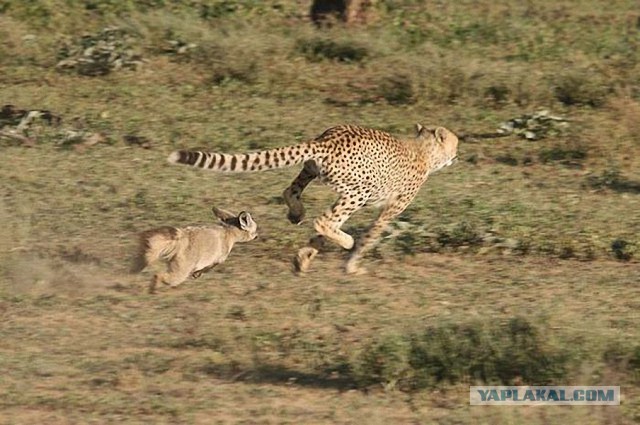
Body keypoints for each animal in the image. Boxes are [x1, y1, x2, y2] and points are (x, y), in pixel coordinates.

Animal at [169, 122, 460, 274]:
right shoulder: (390, 209)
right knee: (324, 221)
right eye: (454, 143)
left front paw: (304, 258)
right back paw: (345, 241)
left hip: (312, 169)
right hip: (359, 190)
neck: (424, 150)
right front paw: (351, 265)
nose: (457, 155)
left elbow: (319, 238)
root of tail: (328, 138)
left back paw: (297, 213)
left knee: (293, 193)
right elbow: (369, 236)